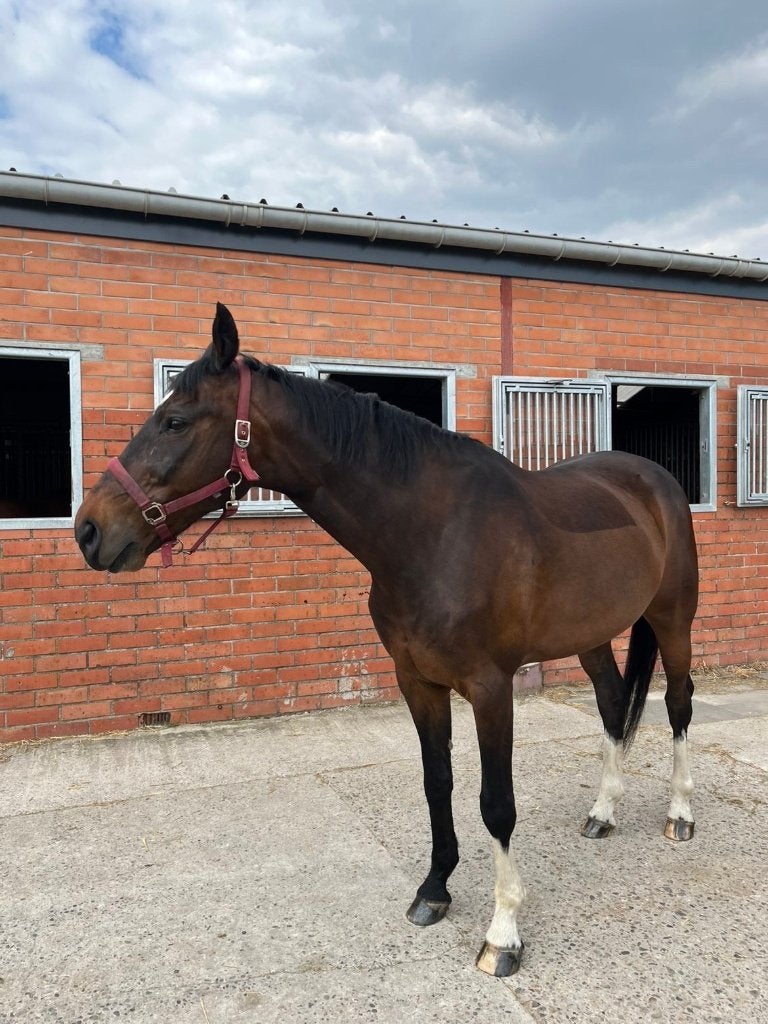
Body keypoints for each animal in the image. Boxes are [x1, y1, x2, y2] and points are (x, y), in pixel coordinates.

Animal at [75, 303, 699, 977]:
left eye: (176, 420)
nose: (89, 530)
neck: (430, 533)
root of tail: (651, 479)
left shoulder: (490, 687)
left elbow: (496, 802)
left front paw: (503, 933)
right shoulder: (416, 680)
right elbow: (437, 782)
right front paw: (434, 890)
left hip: (674, 622)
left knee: (678, 705)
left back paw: (680, 815)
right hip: (591, 635)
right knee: (612, 706)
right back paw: (602, 814)